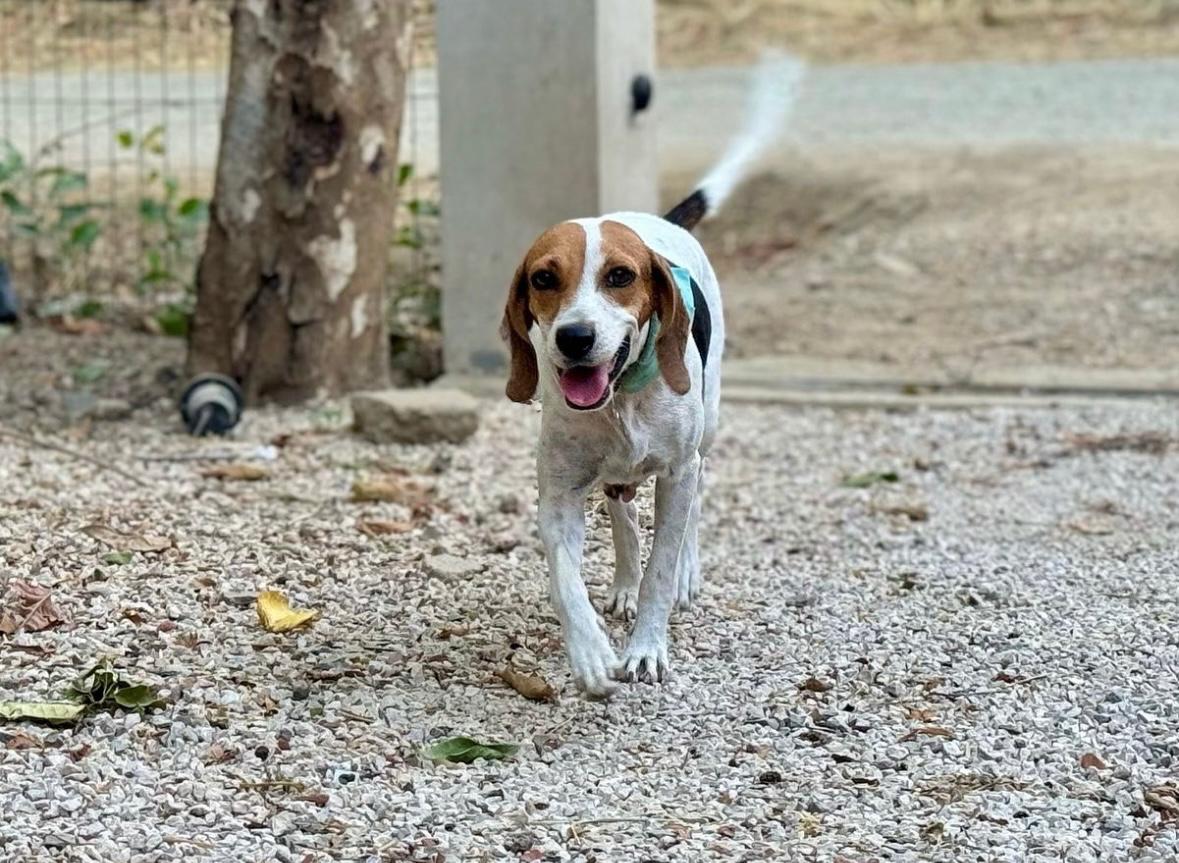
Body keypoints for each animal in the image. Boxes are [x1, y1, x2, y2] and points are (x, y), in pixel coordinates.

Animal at [502, 57, 806, 693]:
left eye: (620, 276)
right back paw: (622, 581)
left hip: (705, 432)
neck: (620, 401)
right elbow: (566, 583)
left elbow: (662, 568)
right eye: (544, 278)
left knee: (694, 497)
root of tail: (658, 220)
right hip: (616, 478)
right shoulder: (558, 496)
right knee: (623, 509)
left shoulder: (677, 470)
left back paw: (684, 571)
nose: (575, 338)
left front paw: (645, 647)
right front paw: (591, 651)